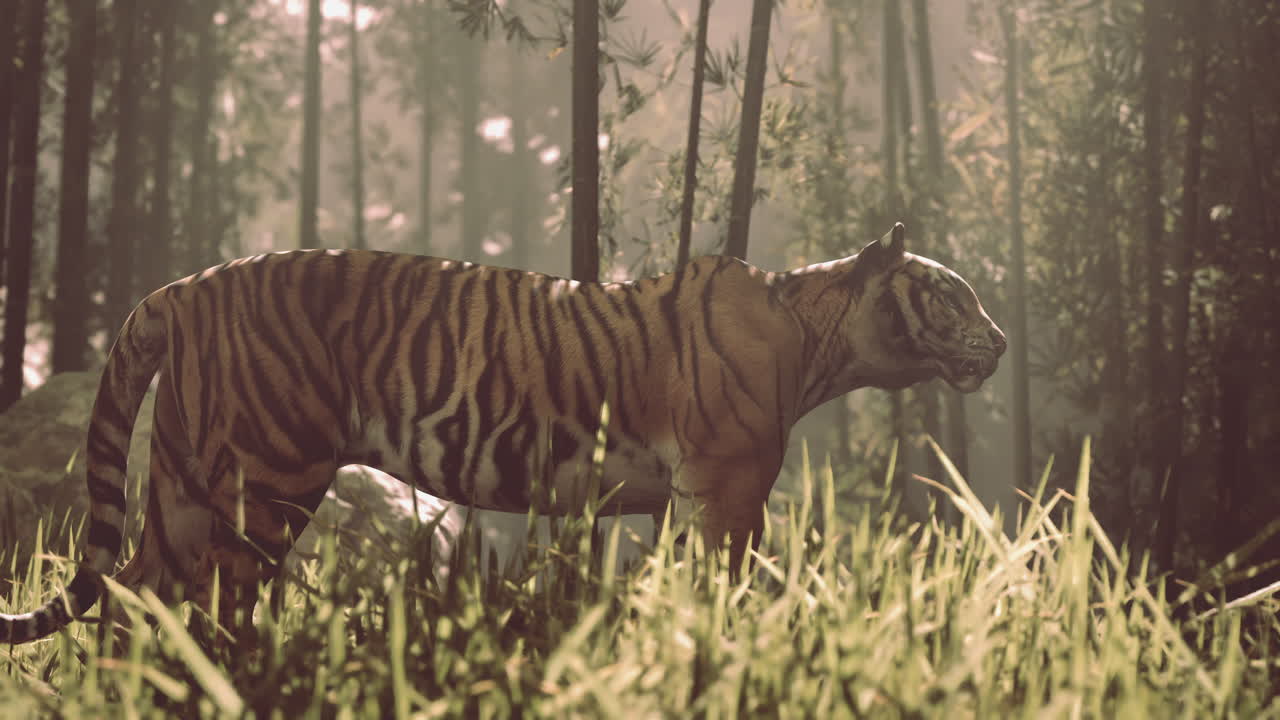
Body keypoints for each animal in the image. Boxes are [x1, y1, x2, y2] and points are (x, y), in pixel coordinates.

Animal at [1, 222, 1004, 644]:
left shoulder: (684, 499)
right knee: (209, 602)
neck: (817, 337)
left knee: (135, 595)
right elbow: (730, 586)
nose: (997, 342)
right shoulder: (728, 489)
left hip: (183, 483)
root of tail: (178, 287)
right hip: (264, 478)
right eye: (950, 295)